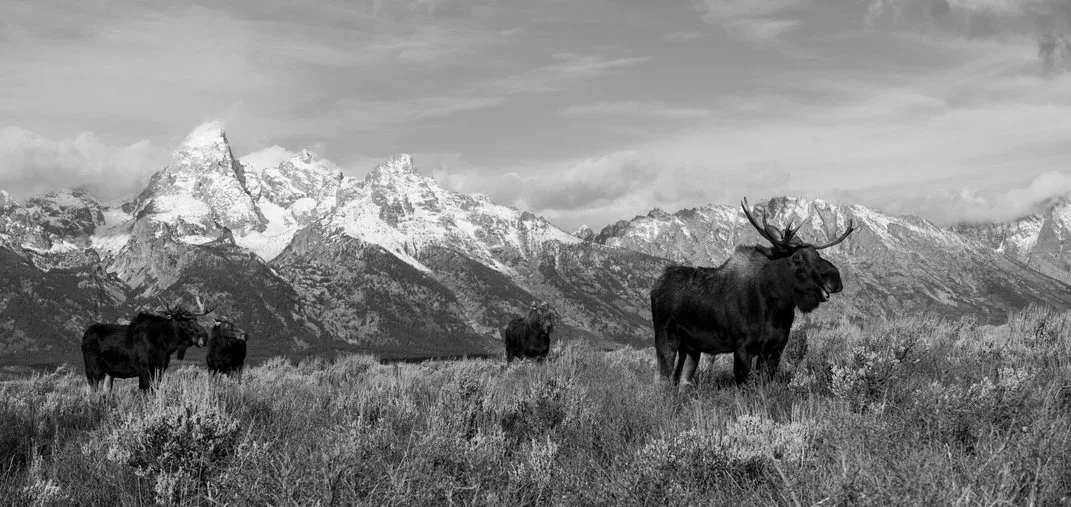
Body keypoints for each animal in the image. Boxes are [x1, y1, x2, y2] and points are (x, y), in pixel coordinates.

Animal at [81, 295, 215, 392]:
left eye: (196, 319)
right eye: (183, 322)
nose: (204, 336)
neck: (165, 346)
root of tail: (84, 336)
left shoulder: (160, 369)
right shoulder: (144, 371)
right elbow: (144, 392)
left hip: (108, 373)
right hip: (92, 369)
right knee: (91, 391)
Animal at [646, 197, 856, 388]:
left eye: (817, 254)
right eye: (797, 257)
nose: (835, 278)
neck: (776, 309)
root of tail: (656, 287)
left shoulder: (775, 347)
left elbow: (765, 383)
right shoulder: (743, 347)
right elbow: (745, 385)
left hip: (691, 348)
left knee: (681, 381)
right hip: (666, 339)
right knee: (661, 380)